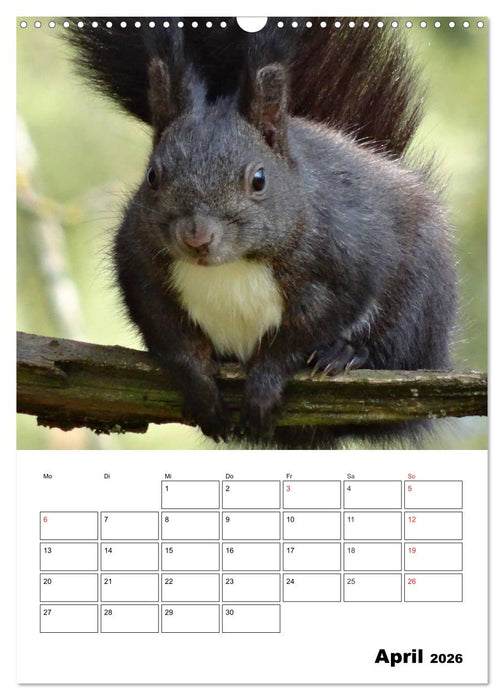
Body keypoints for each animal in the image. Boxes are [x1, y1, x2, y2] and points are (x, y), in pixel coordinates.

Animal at [67, 17, 456, 447]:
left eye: (258, 179)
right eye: (152, 176)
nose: (196, 236)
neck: (231, 266)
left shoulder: (346, 263)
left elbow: (300, 337)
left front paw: (266, 385)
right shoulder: (141, 268)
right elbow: (172, 339)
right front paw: (202, 389)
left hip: (422, 296)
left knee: (399, 345)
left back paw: (347, 353)